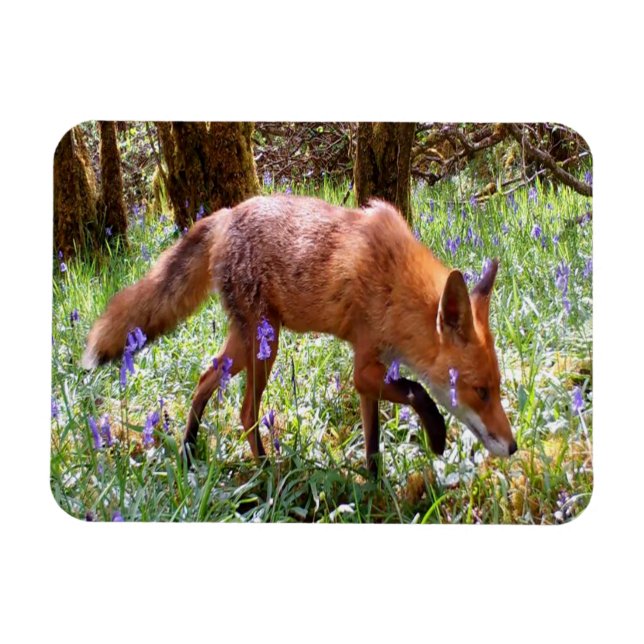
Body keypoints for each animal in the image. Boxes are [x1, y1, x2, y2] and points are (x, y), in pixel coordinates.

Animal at [82, 194, 517, 474]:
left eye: (497, 387)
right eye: (481, 391)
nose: (513, 447)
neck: (395, 283)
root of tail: (225, 213)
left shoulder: (370, 374)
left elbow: (373, 443)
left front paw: (375, 489)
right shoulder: (365, 366)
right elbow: (418, 391)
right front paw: (437, 436)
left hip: (247, 342)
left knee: (205, 378)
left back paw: (190, 452)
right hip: (264, 345)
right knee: (246, 411)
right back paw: (265, 472)